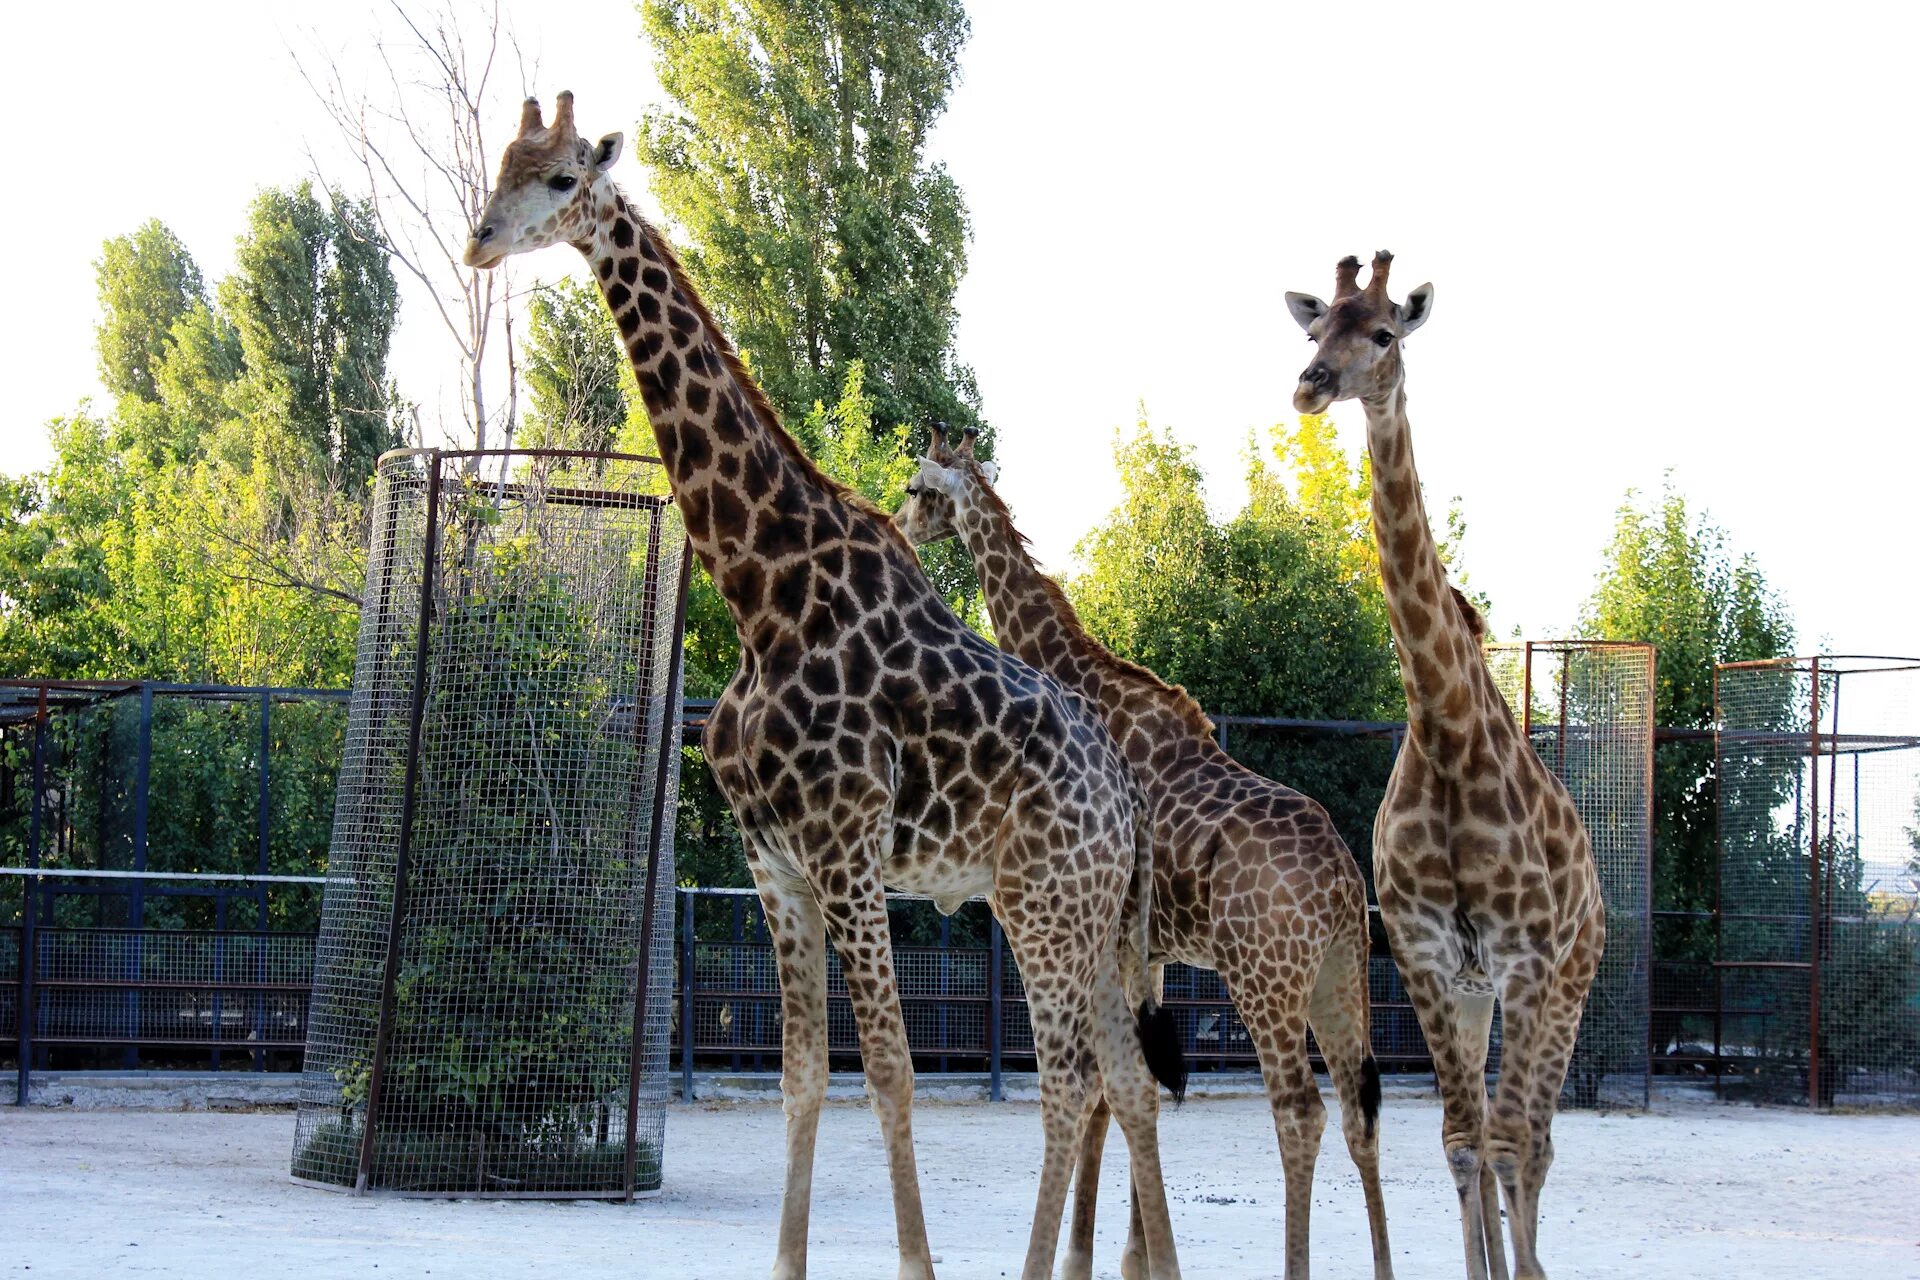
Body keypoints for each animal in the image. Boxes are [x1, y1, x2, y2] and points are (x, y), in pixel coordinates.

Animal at [462, 92, 1182, 1280]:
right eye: (500, 169)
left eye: (563, 179)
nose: (480, 240)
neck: (764, 588)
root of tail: (1127, 805)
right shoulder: (776, 864)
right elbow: (802, 1079)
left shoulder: (847, 850)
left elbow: (887, 1071)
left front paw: (918, 1265)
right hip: (1079, 914)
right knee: (1124, 1078)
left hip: (1047, 906)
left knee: (1072, 1078)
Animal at [890, 433, 1390, 1280]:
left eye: (920, 488)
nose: (898, 526)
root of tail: (1346, 885)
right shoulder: (1148, 948)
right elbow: (1132, 1085)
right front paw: (1128, 1257)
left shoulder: (1118, 934)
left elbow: (1107, 1087)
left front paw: (1094, 1257)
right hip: (1336, 974)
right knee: (1361, 1110)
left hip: (1264, 976)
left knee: (1301, 1112)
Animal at [1282, 253, 1612, 1280]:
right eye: (1317, 329)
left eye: (1385, 332)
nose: (1311, 385)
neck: (1445, 730)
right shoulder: (1428, 961)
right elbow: (1463, 1142)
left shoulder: (1530, 962)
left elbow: (1507, 1142)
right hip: (1476, 998)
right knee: (1498, 1138)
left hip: (1570, 980)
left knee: (1536, 1141)